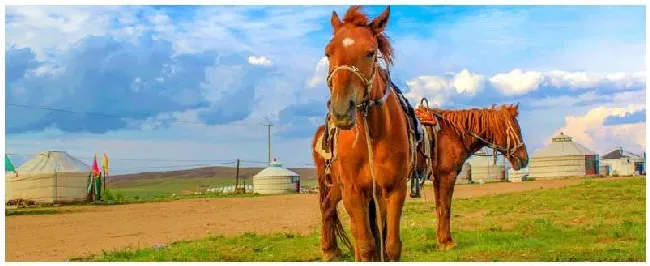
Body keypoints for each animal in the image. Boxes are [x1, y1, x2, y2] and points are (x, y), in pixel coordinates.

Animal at [310, 5, 420, 262]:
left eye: (370, 52)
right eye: (328, 53)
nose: (341, 110)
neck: (374, 134)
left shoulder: (394, 189)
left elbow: (391, 245)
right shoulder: (353, 191)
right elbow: (366, 245)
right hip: (336, 186)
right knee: (329, 209)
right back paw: (329, 250)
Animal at [312, 101, 528, 258]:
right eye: (516, 129)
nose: (524, 159)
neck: (453, 133)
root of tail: (325, 131)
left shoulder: (438, 177)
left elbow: (440, 208)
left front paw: (442, 240)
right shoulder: (447, 175)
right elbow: (445, 208)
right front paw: (447, 242)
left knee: (329, 209)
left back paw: (333, 250)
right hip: (344, 185)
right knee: (328, 207)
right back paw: (330, 251)